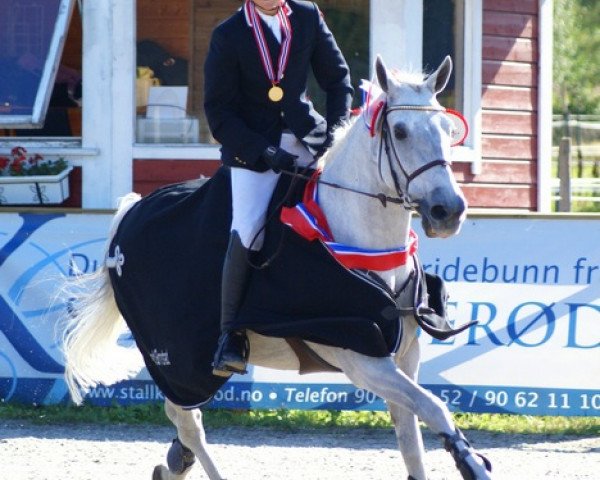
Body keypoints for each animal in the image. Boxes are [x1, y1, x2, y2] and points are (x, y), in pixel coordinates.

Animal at [59, 57, 492, 480]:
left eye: (448, 130)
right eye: (400, 132)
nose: (448, 211)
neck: (361, 244)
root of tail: (131, 211)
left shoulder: (404, 355)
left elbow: (412, 443)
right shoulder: (363, 359)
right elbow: (435, 407)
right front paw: (472, 464)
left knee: (184, 424)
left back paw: (174, 463)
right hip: (180, 358)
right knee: (187, 419)